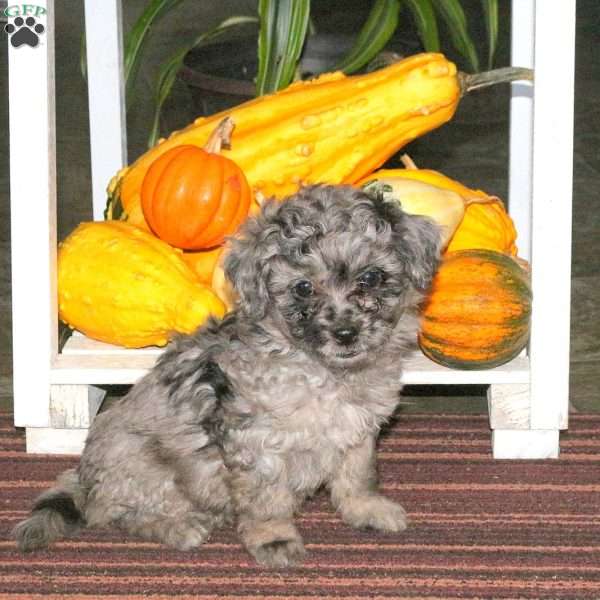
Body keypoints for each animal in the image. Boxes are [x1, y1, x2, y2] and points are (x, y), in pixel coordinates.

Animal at [14, 183, 440, 568]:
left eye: (371, 278)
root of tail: (83, 478)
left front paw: (367, 510)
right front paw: (274, 539)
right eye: (303, 288)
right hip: (142, 465)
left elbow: (358, 475)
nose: (346, 333)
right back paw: (181, 526)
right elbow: (267, 499)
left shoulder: (359, 429)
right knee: (116, 512)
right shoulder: (257, 442)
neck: (324, 372)